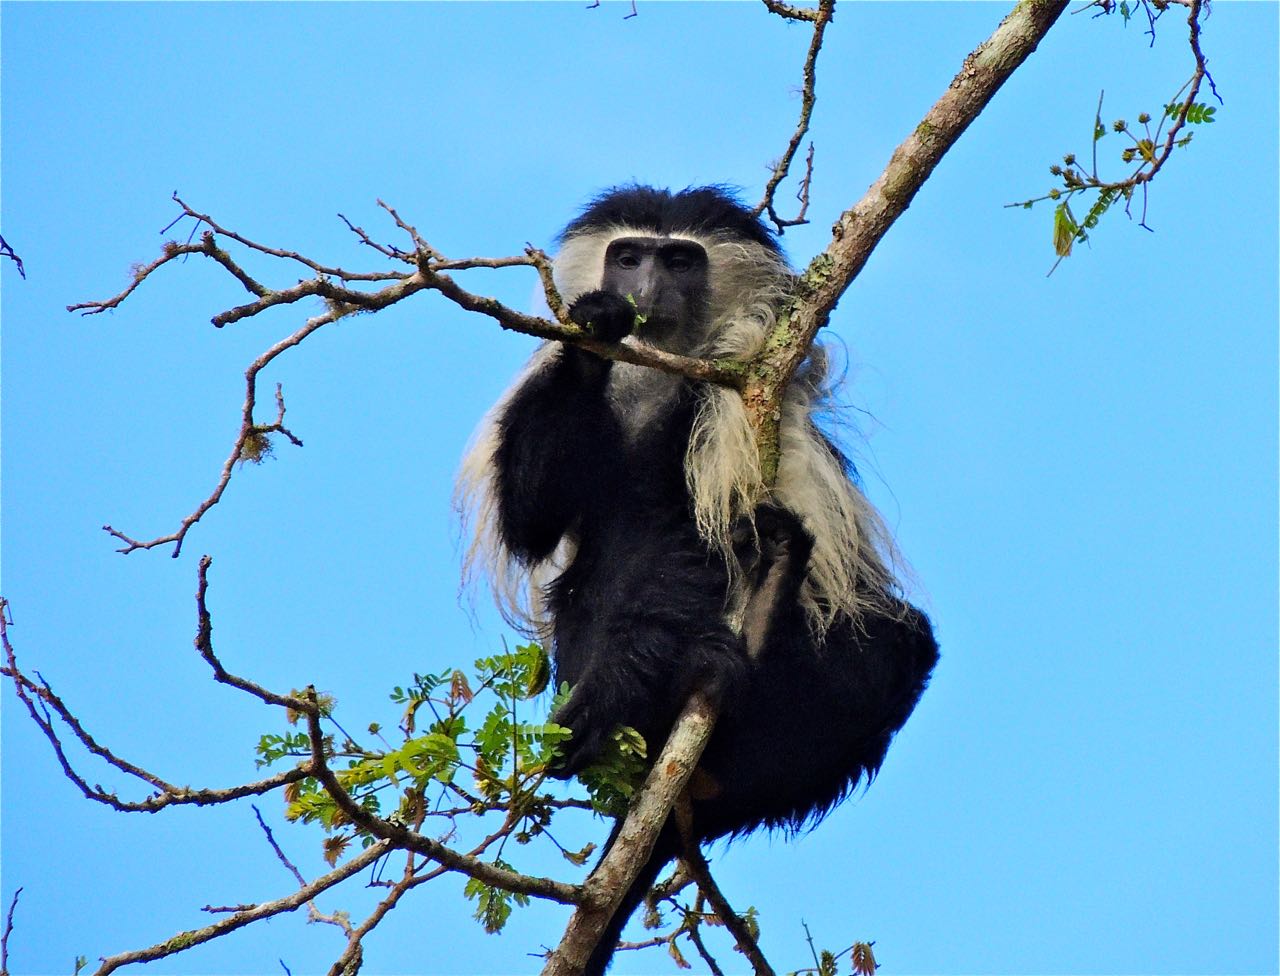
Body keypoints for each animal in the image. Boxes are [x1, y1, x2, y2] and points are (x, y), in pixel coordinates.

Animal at [455, 185, 936, 968]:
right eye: (629, 256)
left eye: (680, 260)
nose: (644, 290)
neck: (660, 374)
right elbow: (534, 521)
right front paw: (596, 328)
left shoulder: (739, 391)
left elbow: (696, 535)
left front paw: (619, 686)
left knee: (901, 642)